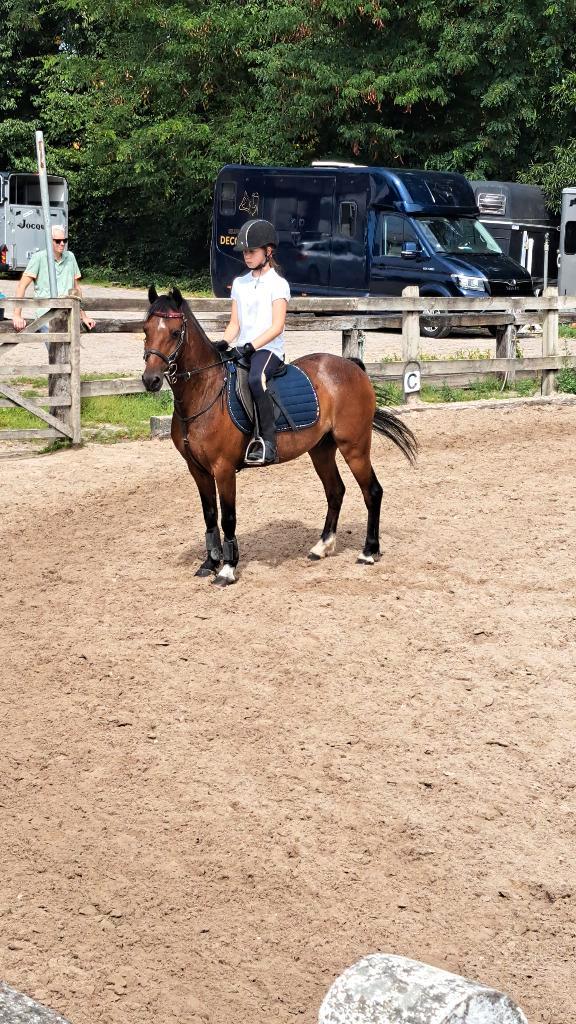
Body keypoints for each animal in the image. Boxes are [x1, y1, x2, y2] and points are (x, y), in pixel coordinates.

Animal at [142, 286, 417, 587]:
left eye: (175, 332)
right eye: (145, 329)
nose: (150, 380)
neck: (205, 392)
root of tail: (351, 366)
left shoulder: (223, 468)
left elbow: (228, 518)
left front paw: (227, 570)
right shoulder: (197, 469)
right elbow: (210, 516)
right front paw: (209, 563)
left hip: (354, 446)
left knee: (372, 491)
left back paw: (368, 552)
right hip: (321, 449)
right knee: (335, 491)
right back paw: (321, 547)